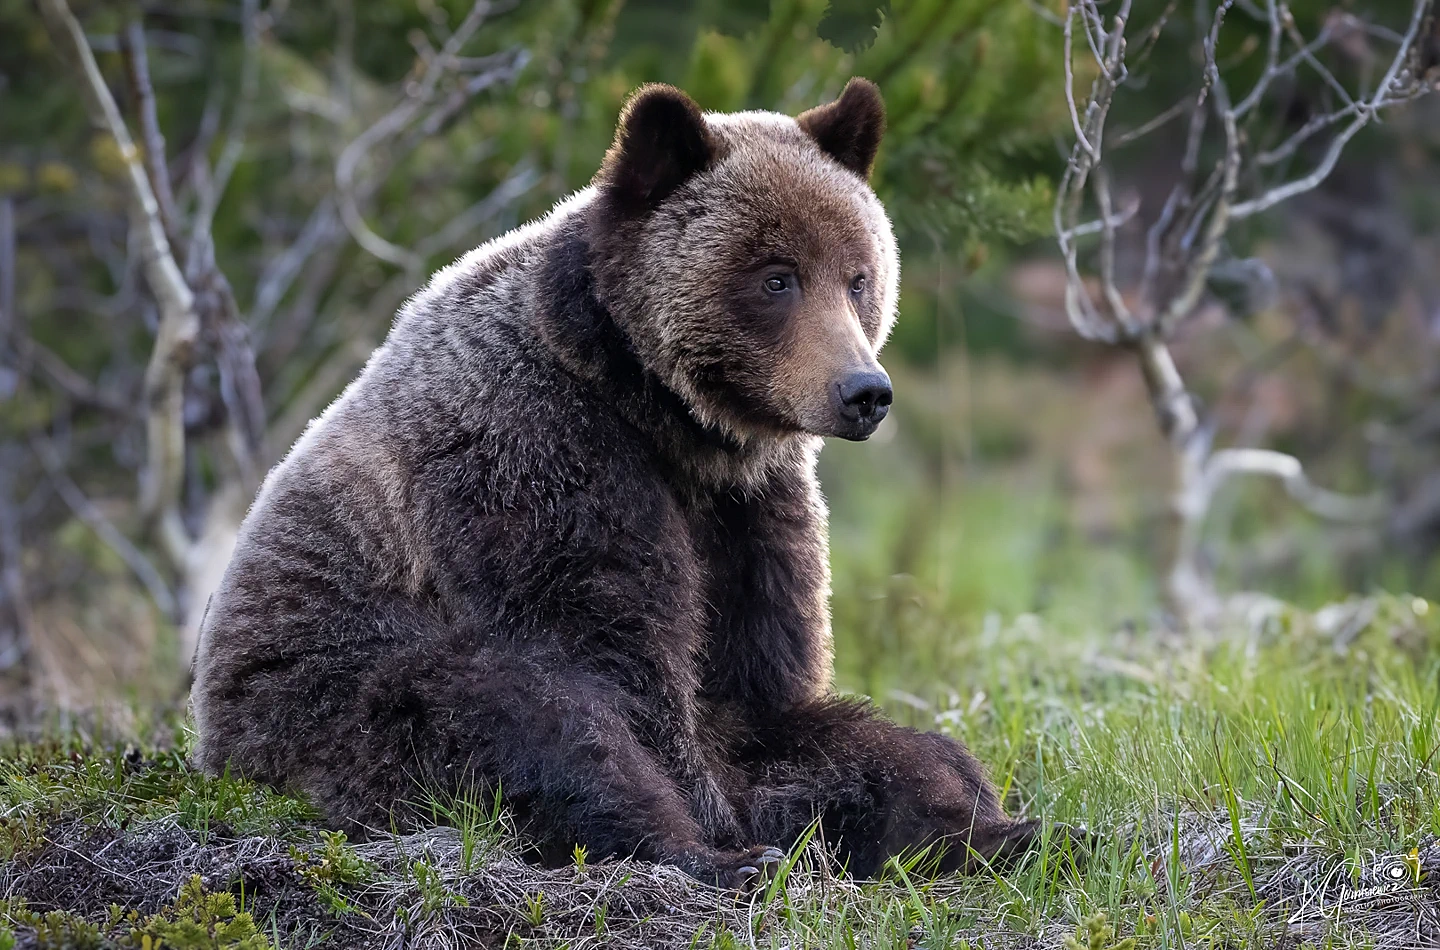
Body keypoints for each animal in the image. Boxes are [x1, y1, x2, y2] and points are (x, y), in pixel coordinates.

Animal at [190, 78, 1044, 887]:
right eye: (777, 278)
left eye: (859, 276)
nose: (864, 391)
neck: (655, 409)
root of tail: (211, 745)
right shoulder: (536, 450)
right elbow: (618, 662)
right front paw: (723, 835)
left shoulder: (750, 508)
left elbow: (759, 687)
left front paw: (928, 809)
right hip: (321, 697)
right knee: (508, 716)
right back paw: (721, 858)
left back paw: (1003, 828)